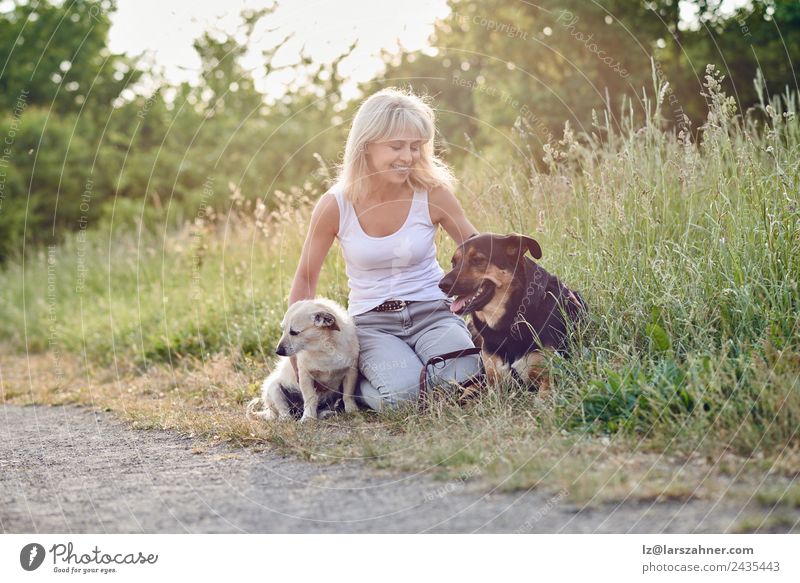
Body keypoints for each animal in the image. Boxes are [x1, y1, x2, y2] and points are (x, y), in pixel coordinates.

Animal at [440, 234, 584, 392]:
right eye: (454, 263)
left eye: (477, 260)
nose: (442, 285)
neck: (510, 323)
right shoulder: (493, 382)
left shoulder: (550, 378)